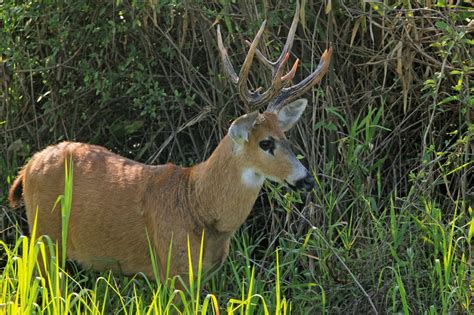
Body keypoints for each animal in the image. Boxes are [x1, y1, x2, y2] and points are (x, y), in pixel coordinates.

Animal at [8, 2, 334, 284]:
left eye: (285, 137)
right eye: (266, 143)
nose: (307, 180)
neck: (198, 204)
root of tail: (28, 167)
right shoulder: (174, 268)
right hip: (45, 235)